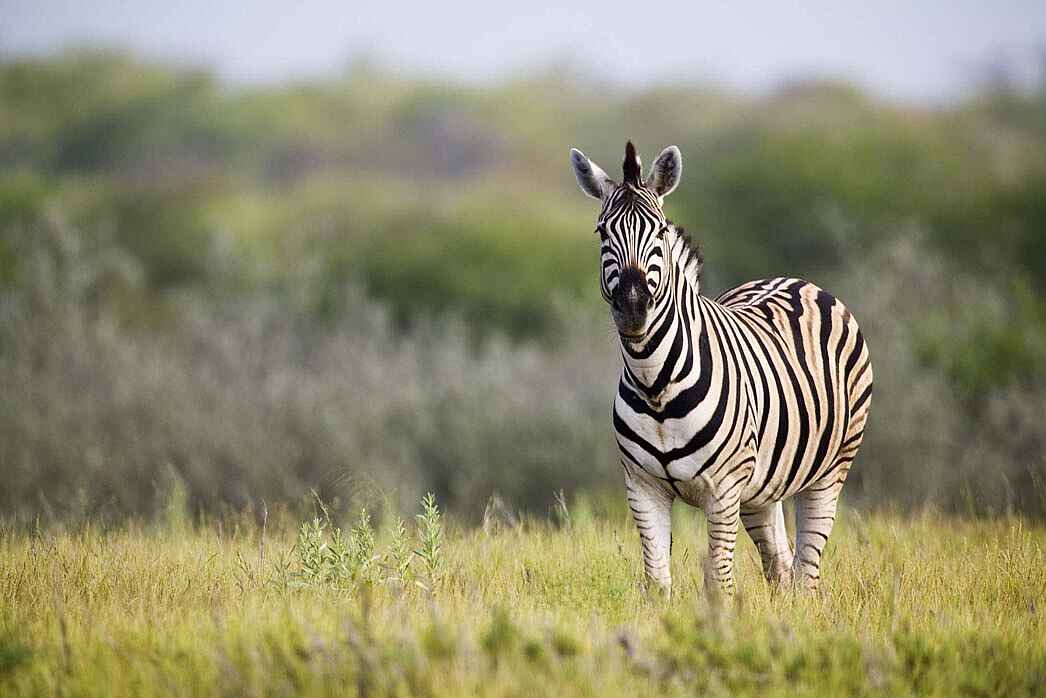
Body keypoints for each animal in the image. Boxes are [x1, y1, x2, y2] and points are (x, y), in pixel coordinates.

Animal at [569, 142, 873, 594]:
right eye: (602, 233)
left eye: (660, 232)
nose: (633, 307)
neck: (655, 383)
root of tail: (794, 280)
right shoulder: (642, 487)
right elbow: (657, 582)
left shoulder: (724, 490)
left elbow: (719, 581)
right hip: (762, 487)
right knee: (780, 566)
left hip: (833, 466)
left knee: (807, 572)